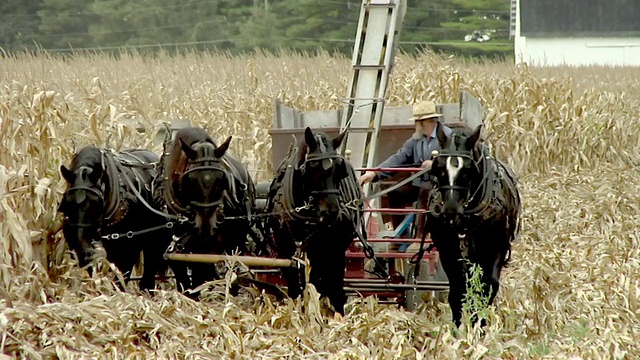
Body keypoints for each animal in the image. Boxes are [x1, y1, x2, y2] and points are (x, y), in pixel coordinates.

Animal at [59, 146, 174, 290]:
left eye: (97, 203)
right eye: (67, 203)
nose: (85, 247)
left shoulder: (128, 248)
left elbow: (121, 278)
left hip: (155, 242)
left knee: (148, 277)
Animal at [154, 128, 256, 296]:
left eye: (222, 179)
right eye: (190, 180)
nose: (206, 227)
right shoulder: (175, 249)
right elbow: (184, 279)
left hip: (236, 238)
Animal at [264, 126, 364, 316]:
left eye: (339, 170)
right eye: (313, 168)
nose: (332, 212)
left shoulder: (328, 248)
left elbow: (322, 285)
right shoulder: (285, 249)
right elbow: (295, 289)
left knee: (332, 285)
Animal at [424, 123, 520, 326]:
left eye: (467, 170)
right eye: (439, 168)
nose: (450, 211)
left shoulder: (496, 247)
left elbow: (487, 288)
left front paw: (479, 325)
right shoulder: (448, 251)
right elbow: (457, 293)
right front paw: (457, 329)